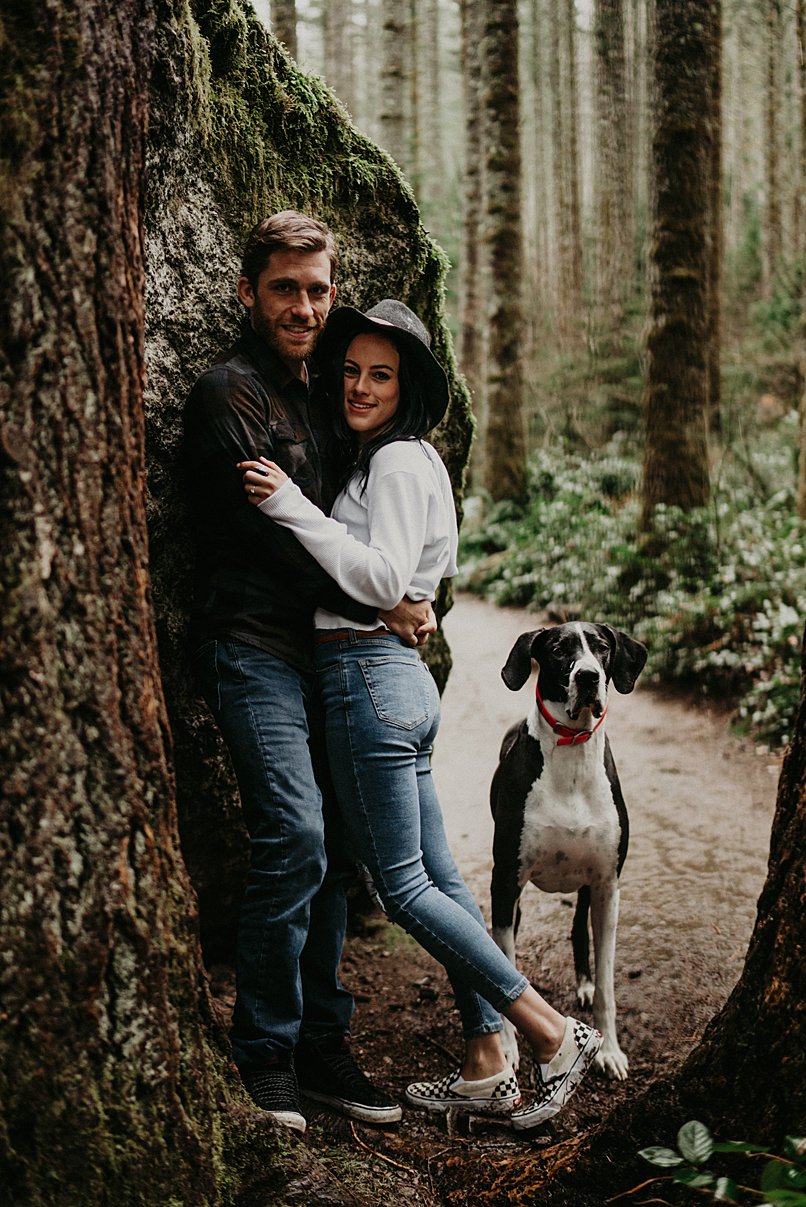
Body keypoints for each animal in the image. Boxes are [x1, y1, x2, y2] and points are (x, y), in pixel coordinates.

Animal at [485, 627, 646, 1081]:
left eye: (603, 648)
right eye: (558, 650)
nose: (588, 676)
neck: (572, 751)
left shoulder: (609, 885)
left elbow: (609, 981)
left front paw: (610, 1050)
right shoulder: (506, 881)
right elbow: (505, 966)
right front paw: (508, 1048)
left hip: (589, 885)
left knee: (578, 929)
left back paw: (584, 984)